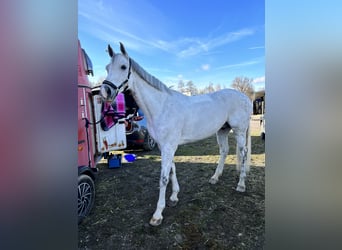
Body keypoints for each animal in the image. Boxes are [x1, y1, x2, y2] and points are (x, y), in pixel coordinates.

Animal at [100, 42, 252, 227]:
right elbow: (172, 169)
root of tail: (245, 97)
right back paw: (215, 177)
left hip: (239, 131)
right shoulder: (164, 146)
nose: (105, 91)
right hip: (222, 130)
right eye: (107, 67)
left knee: (243, 154)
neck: (161, 106)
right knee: (224, 151)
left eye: (123, 66)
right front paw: (174, 197)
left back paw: (241, 185)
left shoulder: (168, 146)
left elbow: (163, 178)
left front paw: (158, 214)